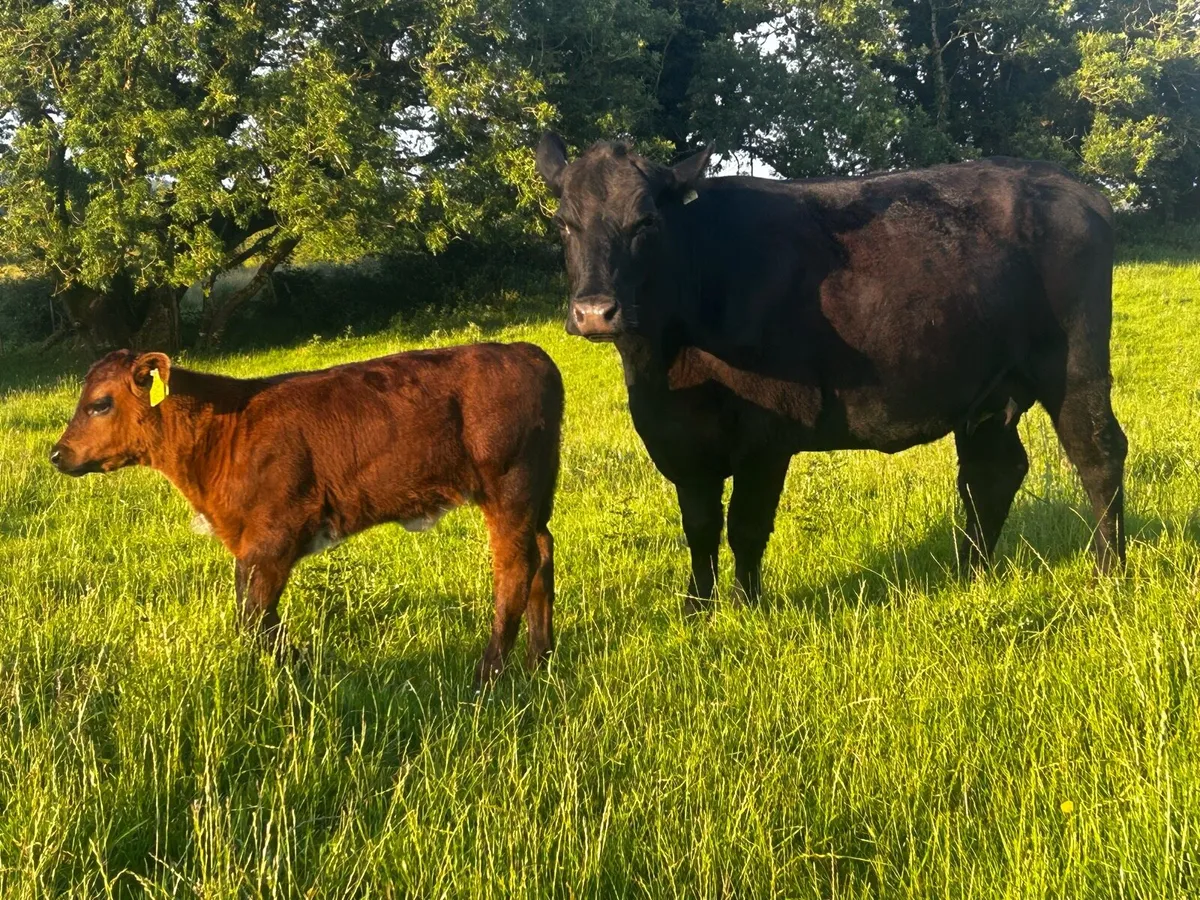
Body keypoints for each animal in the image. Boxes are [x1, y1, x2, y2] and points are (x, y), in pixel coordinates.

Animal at [50, 343, 563, 683]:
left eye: (100, 403)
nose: (57, 454)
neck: (225, 431)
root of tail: (528, 352)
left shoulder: (274, 536)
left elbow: (254, 617)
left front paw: (306, 668)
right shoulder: (251, 543)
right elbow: (254, 616)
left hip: (509, 487)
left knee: (514, 571)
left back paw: (487, 677)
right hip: (536, 494)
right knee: (542, 553)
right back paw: (539, 662)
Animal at [535, 133, 1126, 611]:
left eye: (647, 222)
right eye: (563, 222)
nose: (595, 312)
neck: (668, 362)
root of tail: (1073, 187)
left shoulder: (767, 436)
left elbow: (746, 527)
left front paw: (747, 609)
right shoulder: (681, 440)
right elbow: (699, 529)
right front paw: (696, 611)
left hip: (1073, 364)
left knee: (1097, 453)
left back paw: (1108, 572)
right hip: (988, 390)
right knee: (993, 471)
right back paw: (970, 573)